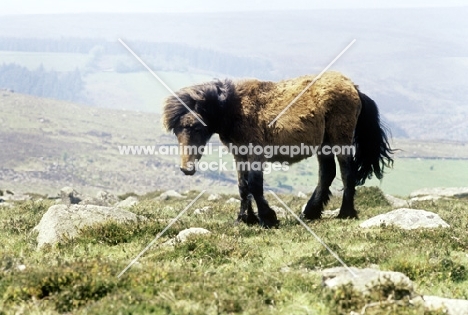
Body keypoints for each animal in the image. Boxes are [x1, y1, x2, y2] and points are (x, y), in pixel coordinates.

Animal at [163, 72, 394, 228]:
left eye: (195, 126)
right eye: (176, 130)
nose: (186, 169)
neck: (234, 108)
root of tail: (354, 87)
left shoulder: (255, 153)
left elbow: (255, 185)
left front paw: (268, 218)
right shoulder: (240, 155)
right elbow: (242, 186)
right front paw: (245, 219)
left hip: (340, 140)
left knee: (347, 172)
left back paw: (345, 213)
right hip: (324, 145)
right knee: (327, 173)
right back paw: (311, 212)